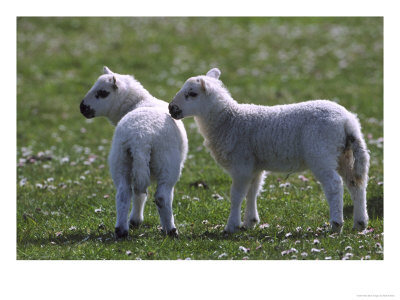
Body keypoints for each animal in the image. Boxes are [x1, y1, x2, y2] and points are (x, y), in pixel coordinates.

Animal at [81, 67, 189, 238]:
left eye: (103, 93)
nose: (82, 107)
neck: (139, 102)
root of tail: (141, 136)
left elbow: (139, 193)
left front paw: (135, 221)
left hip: (121, 159)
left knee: (124, 194)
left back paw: (121, 230)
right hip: (167, 163)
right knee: (162, 197)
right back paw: (171, 230)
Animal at [168, 68, 368, 234]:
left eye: (192, 94)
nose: (171, 108)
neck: (228, 120)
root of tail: (348, 121)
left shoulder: (241, 164)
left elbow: (236, 195)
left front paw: (231, 226)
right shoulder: (254, 166)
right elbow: (252, 191)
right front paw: (250, 222)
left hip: (321, 153)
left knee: (334, 184)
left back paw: (336, 224)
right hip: (344, 155)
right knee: (355, 183)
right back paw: (360, 223)